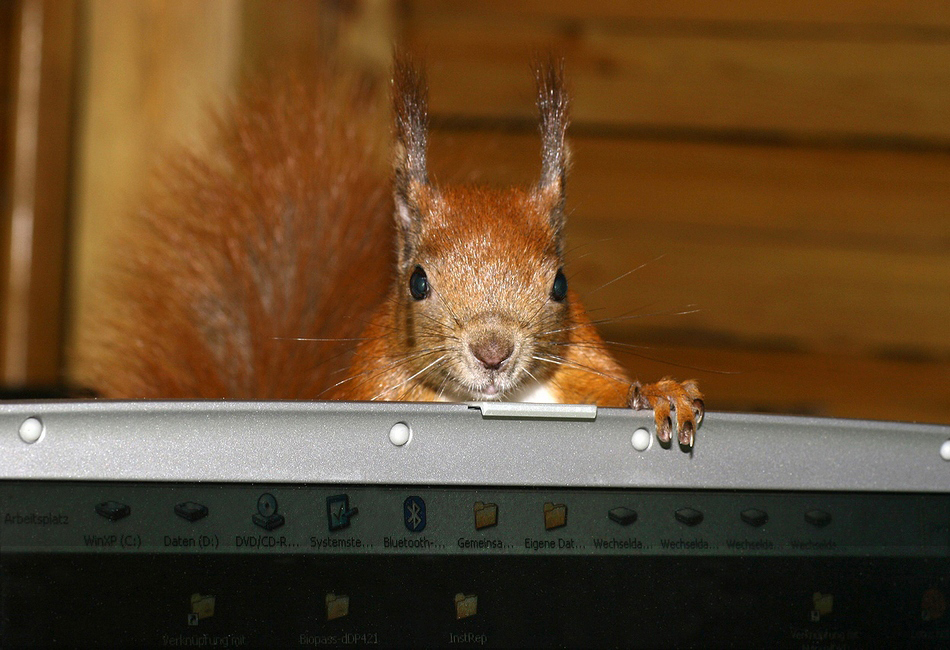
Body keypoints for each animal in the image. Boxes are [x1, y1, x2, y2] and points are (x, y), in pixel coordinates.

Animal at [78, 55, 708, 446]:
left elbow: (609, 385)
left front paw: (662, 392)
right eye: (417, 281)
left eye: (560, 284)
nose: (493, 352)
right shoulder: (374, 384)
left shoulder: (580, 363)